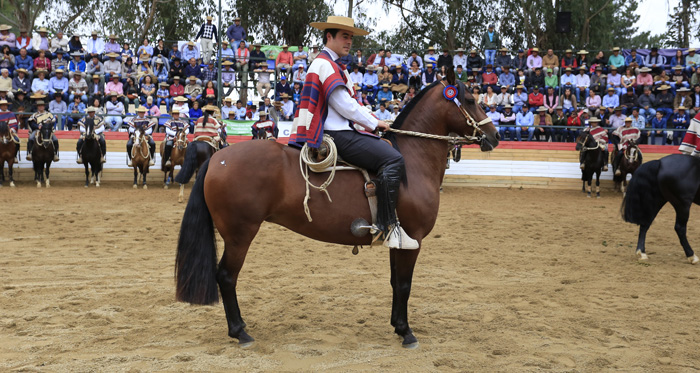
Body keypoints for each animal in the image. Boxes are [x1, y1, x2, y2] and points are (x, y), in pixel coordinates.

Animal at [173, 71, 500, 348]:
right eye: (470, 100)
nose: (494, 136)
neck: (410, 161)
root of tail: (218, 159)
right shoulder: (413, 239)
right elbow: (405, 284)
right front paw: (407, 332)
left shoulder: (399, 240)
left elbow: (396, 283)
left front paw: (397, 325)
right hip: (240, 235)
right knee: (227, 276)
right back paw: (240, 331)